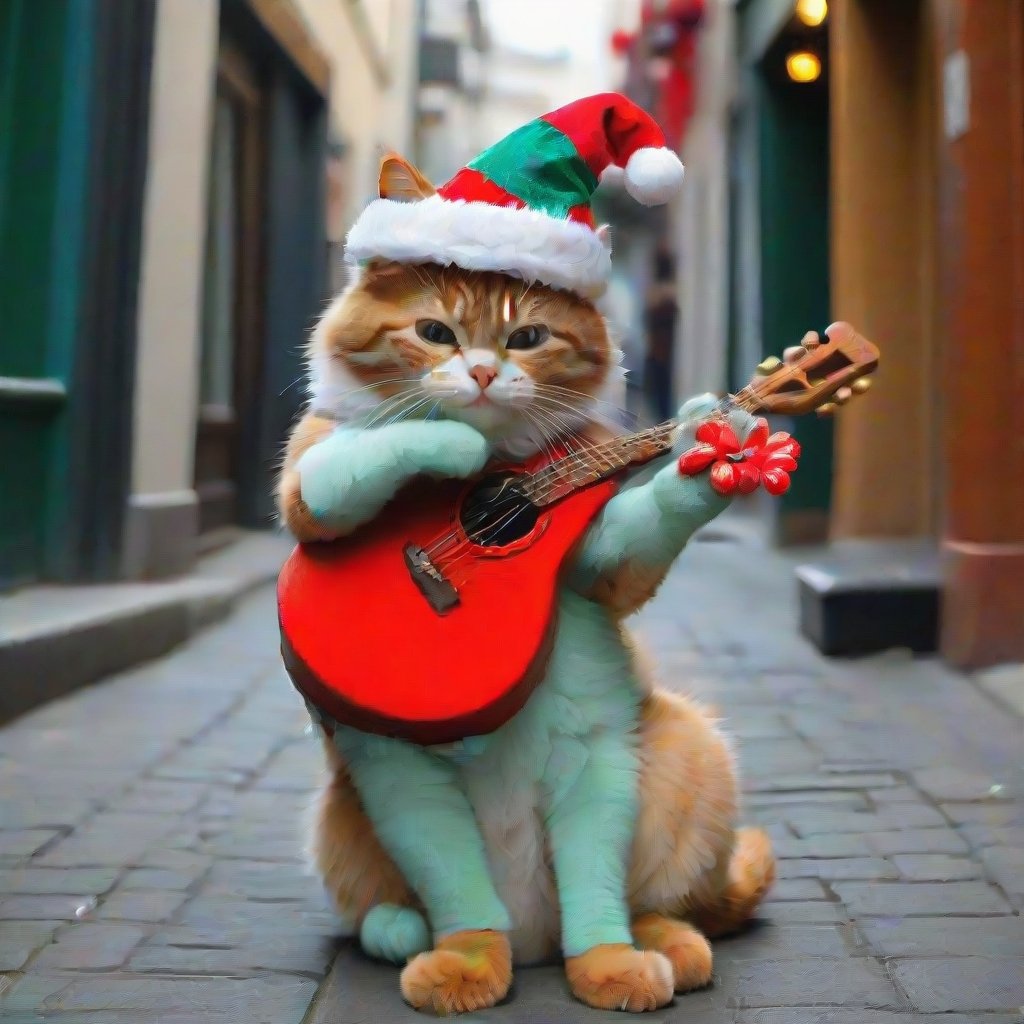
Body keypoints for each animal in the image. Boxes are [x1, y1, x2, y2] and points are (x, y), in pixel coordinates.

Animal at [276, 155, 770, 1011]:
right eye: (435, 332)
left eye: (528, 338)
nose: (480, 373)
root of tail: (538, 943)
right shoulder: (307, 485)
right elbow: (357, 466)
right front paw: (450, 444)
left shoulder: (601, 564)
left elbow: (638, 535)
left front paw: (712, 438)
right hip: (371, 796)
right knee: (449, 899)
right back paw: (426, 942)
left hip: (658, 754)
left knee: (637, 896)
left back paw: (647, 949)